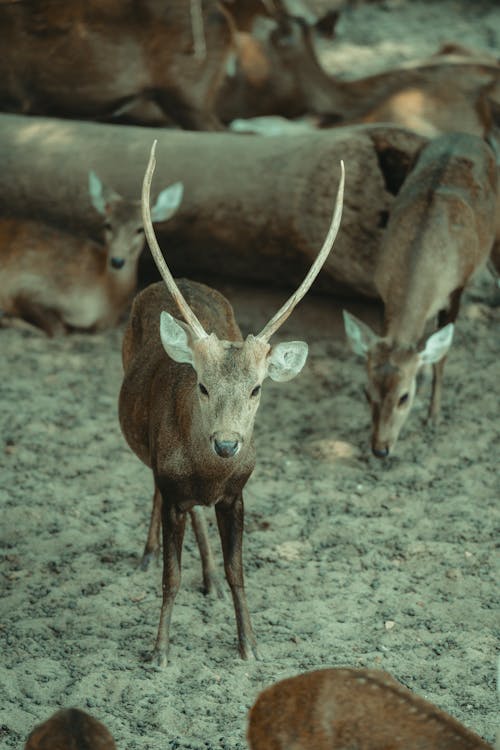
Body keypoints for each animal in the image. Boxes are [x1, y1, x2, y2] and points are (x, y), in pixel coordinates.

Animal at [117, 142, 344, 668]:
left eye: (257, 389)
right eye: (202, 385)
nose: (225, 444)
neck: (208, 473)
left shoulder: (238, 494)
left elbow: (239, 571)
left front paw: (250, 645)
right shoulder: (172, 482)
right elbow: (170, 577)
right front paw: (160, 651)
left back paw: (210, 583)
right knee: (155, 492)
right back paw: (147, 553)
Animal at [344, 133, 496, 458]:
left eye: (404, 397)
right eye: (366, 391)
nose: (380, 449)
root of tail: (468, 136)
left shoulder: (456, 289)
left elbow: (442, 355)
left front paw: (433, 417)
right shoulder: (382, 294)